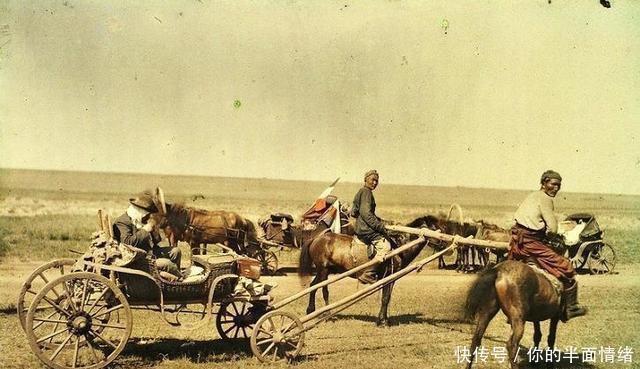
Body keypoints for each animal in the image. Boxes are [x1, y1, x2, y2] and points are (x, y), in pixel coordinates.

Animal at [298, 218, 428, 324]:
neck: (399, 247)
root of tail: (316, 239)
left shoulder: (391, 278)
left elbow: (386, 297)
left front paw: (384, 319)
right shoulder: (387, 276)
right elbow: (385, 298)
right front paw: (383, 321)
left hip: (323, 271)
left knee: (313, 286)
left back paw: (311, 311)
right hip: (323, 270)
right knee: (324, 290)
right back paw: (328, 314)